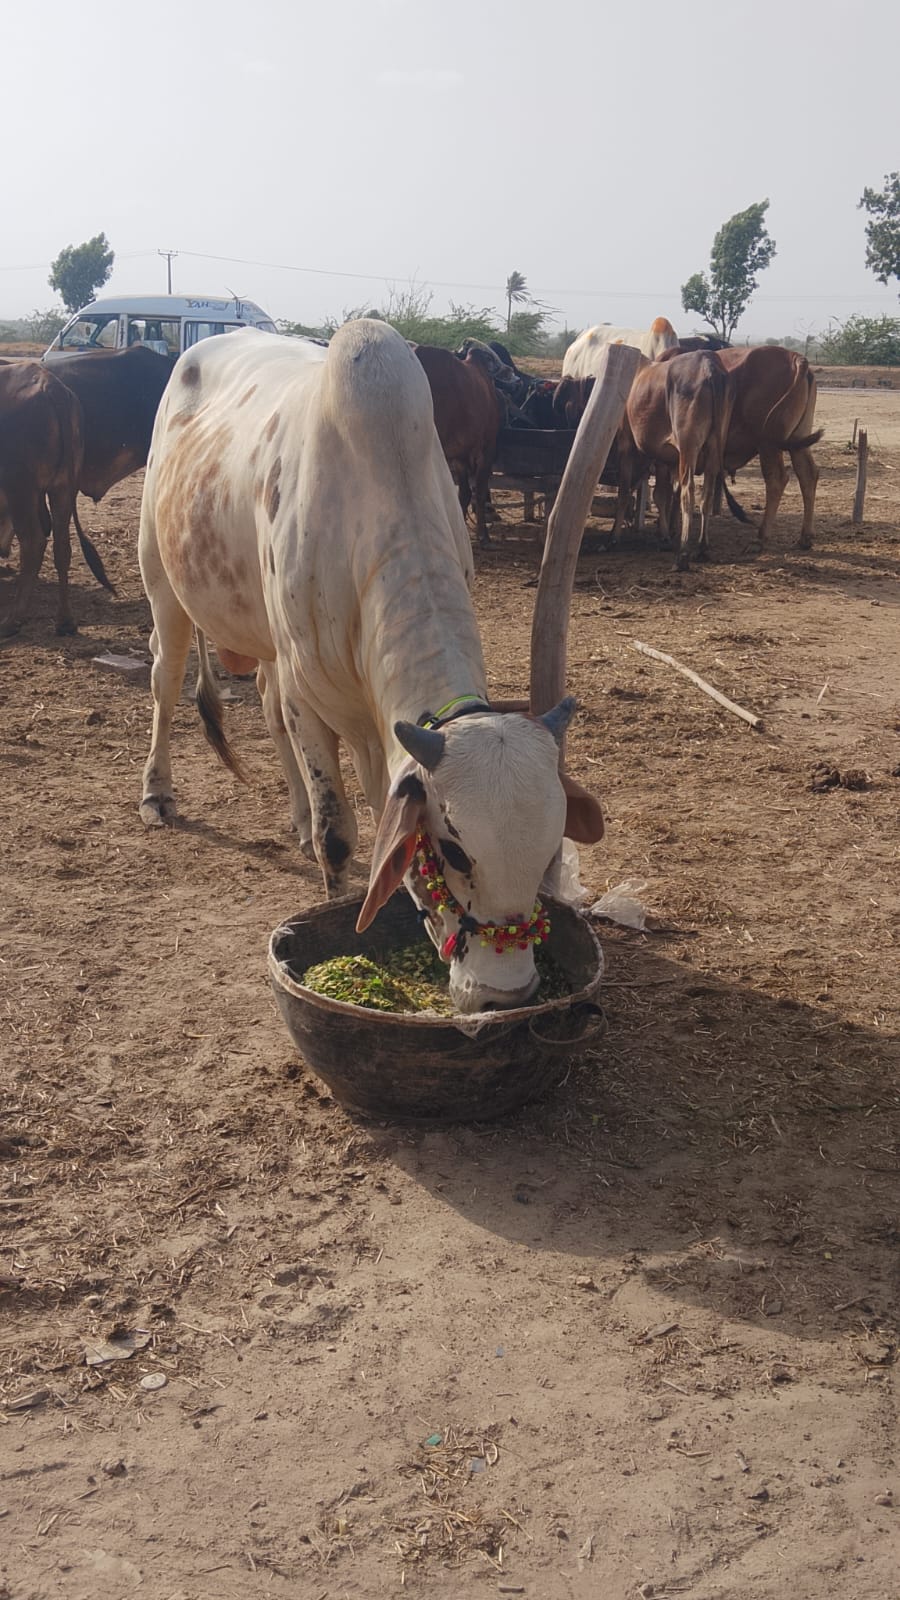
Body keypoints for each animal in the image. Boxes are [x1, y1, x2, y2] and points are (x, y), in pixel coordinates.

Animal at [0, 361, 113, 636]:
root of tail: (49, 384)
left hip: (21, 487)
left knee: (33, 542)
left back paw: (12, 620)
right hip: (63, 487)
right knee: (62, 545)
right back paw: (64, 621)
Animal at [613, 353, 738, 569]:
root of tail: (709, 365)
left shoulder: (626, 446)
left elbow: (624, 493)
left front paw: (615, 537)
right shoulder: (664, 459)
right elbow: (661, 496)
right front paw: (664, 536)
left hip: (689, 447)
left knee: (688, 493)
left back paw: (683, 554)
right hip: (714, 448)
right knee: (706, 496)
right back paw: (702, 548)